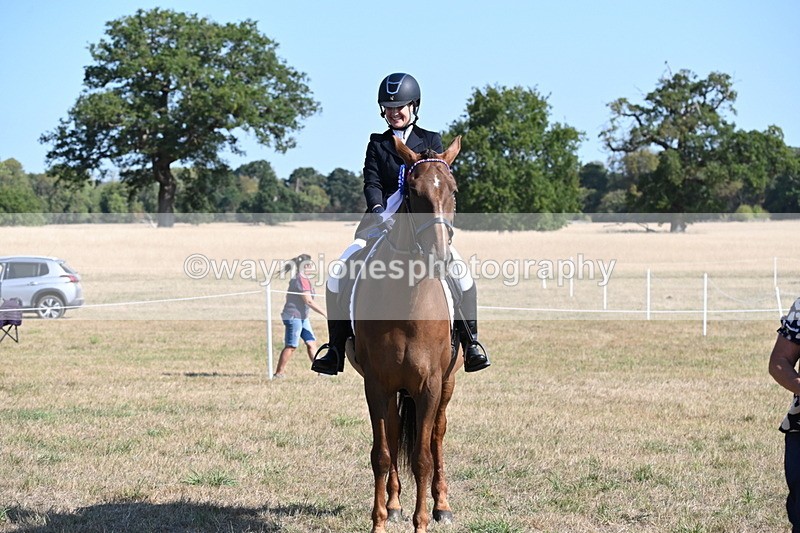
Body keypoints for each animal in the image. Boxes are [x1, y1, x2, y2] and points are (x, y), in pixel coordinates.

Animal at [346, 135, 463, 533]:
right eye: (412, 191)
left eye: (453, 190)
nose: (440, 257)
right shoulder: (377, 384)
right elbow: (383, 454)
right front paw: (380, 522)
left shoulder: (429, 384)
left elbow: (423, 457)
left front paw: (423, 522)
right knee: (397, 432)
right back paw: (395, 503)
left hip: (446, 384)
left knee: (438, 436)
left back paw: (442, 505)